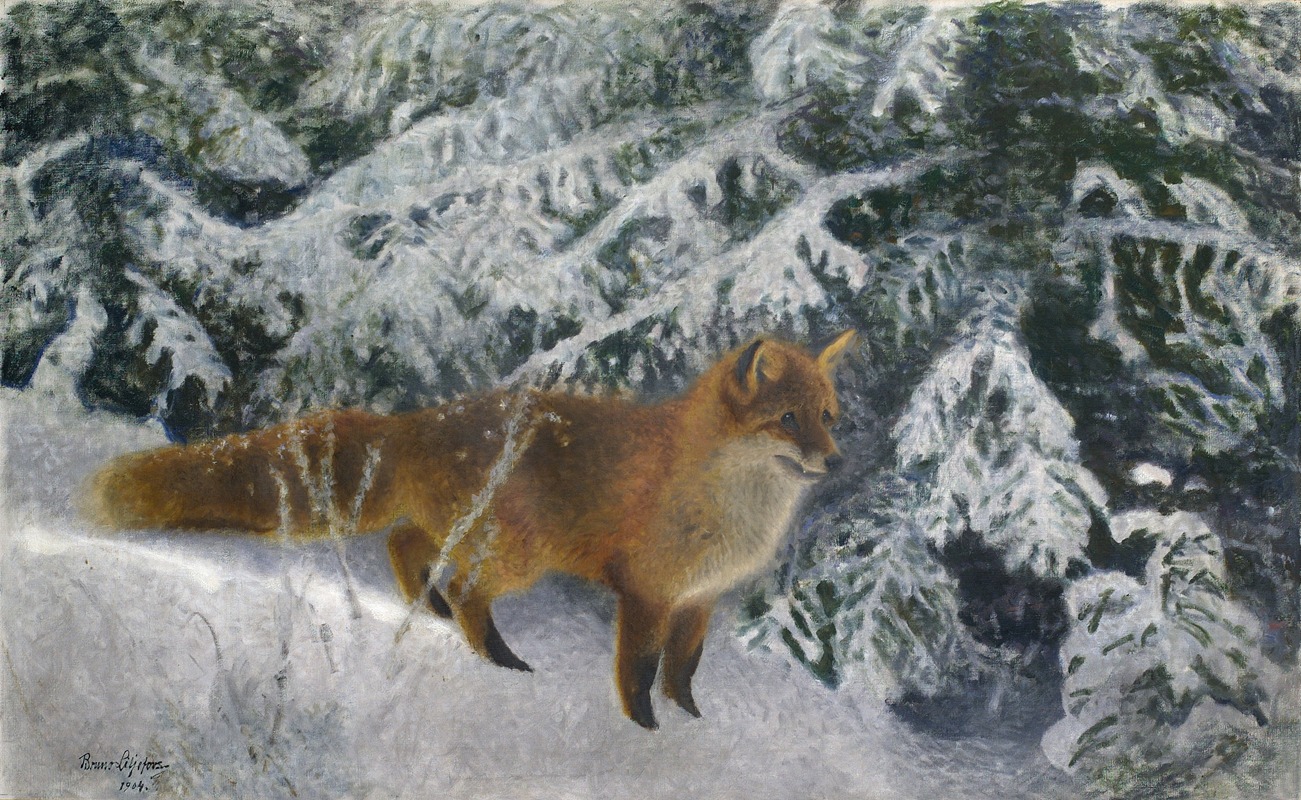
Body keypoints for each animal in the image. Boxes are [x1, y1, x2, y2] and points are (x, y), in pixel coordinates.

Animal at [81, 330, 856, 729]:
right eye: (788, 419)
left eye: (828, 416)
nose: (838, 460)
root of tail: (418, 422)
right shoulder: (647, 593)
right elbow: (637, 673)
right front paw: (645, 732)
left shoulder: (698, 601)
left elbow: (683, 671)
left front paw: (693, 722)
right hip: (517, 555)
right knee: (462, 588)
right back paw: (497, 660)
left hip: (471, 536)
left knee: (404, 546)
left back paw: (430, 613)